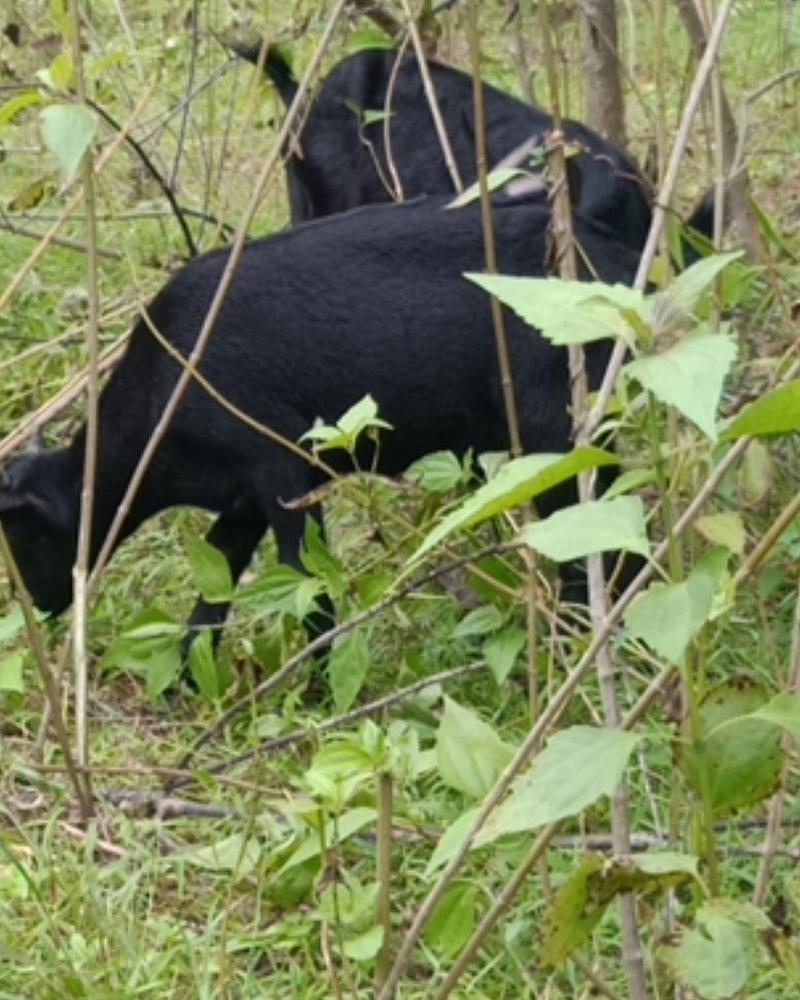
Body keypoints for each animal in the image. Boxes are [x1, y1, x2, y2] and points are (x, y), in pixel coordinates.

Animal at [0, 192, 636, 652]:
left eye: (23, 534)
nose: (43, 605)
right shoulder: (242, 497)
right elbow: (215, 587)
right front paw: (187, 679)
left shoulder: (280, 469)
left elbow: (308, 577)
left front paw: (317, 687)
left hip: (556, 424)